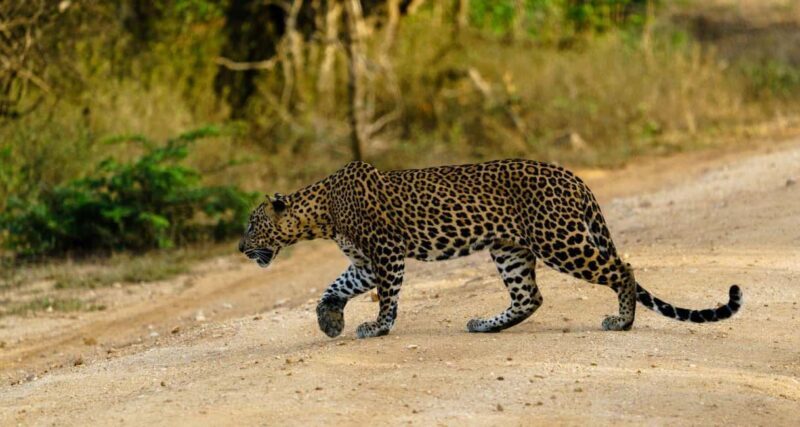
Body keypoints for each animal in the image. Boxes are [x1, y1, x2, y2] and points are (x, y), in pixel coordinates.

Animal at [239, 160, 743, 339]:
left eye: (252, 224)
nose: (241, 248)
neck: (320, 213)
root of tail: (575, 177)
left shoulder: (386, 253)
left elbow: (387, 298)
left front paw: (376, 328)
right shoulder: (363, 263)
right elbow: (334, 286)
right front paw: (330, 320)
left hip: (560, 240)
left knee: (624, 268)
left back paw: (622, 322)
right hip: (510, 249)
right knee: (529, 296)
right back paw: (486, 324)